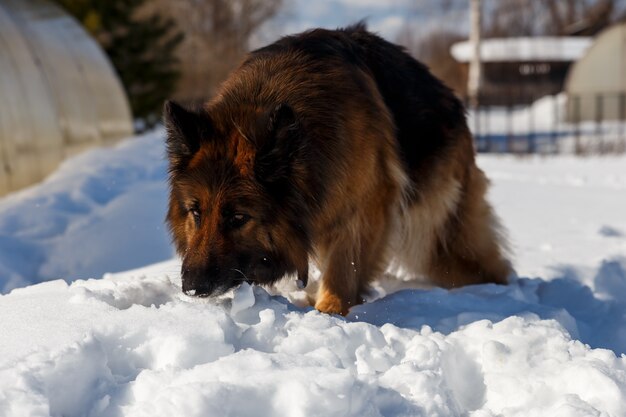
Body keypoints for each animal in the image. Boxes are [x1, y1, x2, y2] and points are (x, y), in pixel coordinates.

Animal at [163, 24, 510, 314]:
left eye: (238, 218)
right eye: (195, 212)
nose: (192, 288)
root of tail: (452, 101)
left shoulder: (365, 209)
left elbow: (344, 270)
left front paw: (329, 312)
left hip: (434, 233)